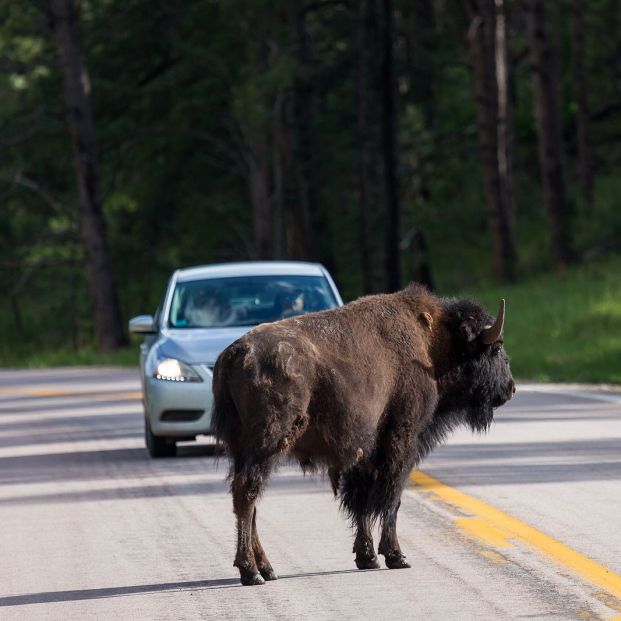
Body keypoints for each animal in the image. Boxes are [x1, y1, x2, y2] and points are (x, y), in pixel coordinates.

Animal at [213, 284, 512, 584]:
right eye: (496, 348)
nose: (509, 388)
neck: (433, 343)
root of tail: (236, 353)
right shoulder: (402, 440)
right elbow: (391, 497)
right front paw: (396, 556)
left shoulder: (365, 451)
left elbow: (361, 500)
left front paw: (367, 557)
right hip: (268, 443)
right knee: (247, 494)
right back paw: (251, 571)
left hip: (242, 450)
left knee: (249, 501)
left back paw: (266, 568)